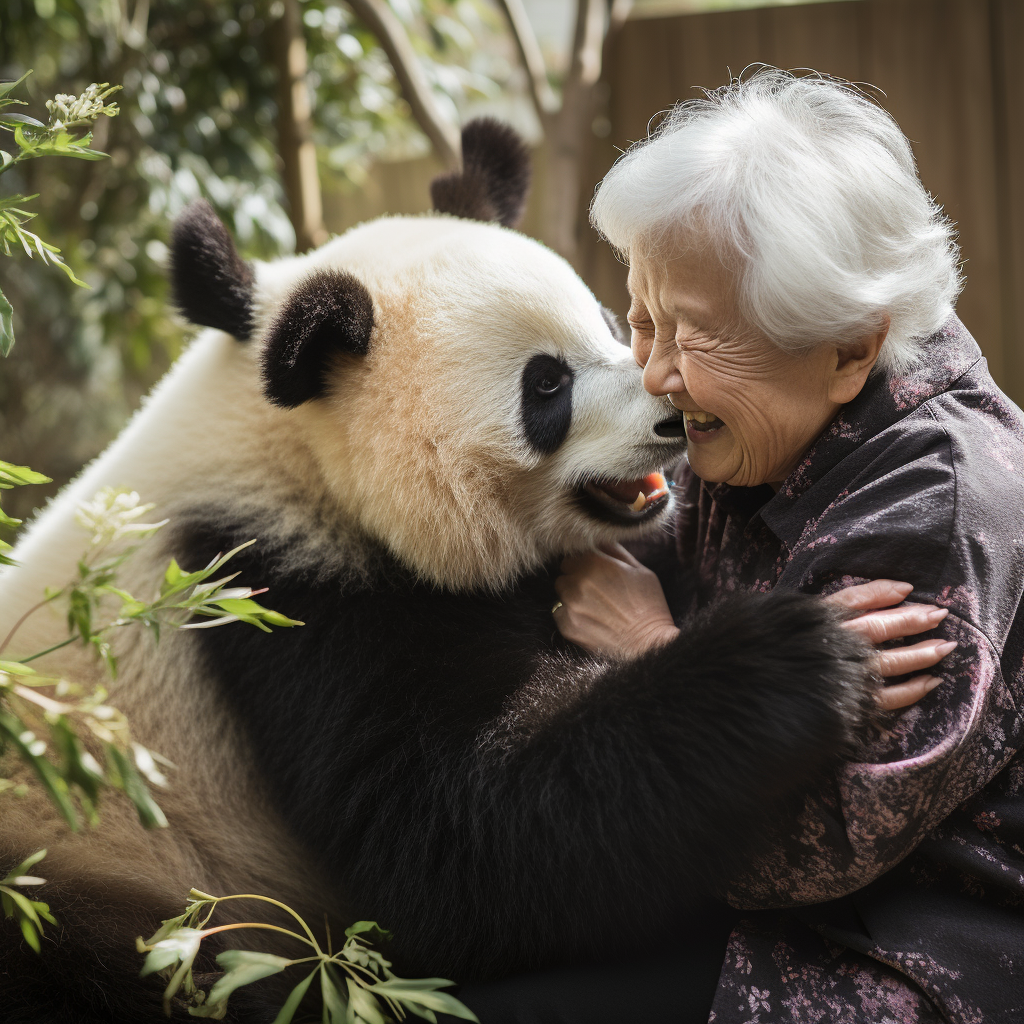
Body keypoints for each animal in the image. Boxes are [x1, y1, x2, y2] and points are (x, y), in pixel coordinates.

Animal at [0, 121, 872, 1024]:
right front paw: (785, 658)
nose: (672, 420)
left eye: (608, 320)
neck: (295, 450)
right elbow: (457, 838)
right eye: (546, 385)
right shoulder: (276, 589)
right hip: (100, 891)